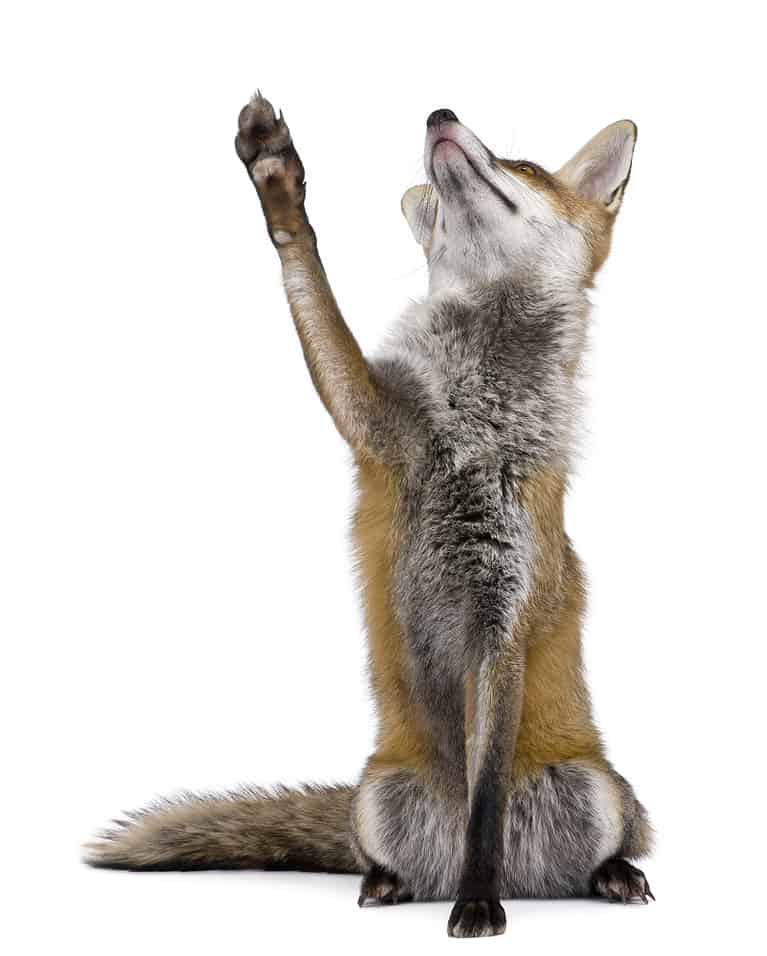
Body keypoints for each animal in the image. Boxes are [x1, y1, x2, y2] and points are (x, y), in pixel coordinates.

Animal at [85, 93, 654, 938]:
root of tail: (532, 878)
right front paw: (278, 183)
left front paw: (476, 904)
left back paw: (598, 877)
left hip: (599, 792)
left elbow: (485, 800)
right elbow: (313, 287)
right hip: (378, 800)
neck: (471, 424)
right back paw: (386, 884)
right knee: (386, 858)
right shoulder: (371, 421)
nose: (440, 114)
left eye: (523, 167)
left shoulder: (502, 617)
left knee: (587, 848)